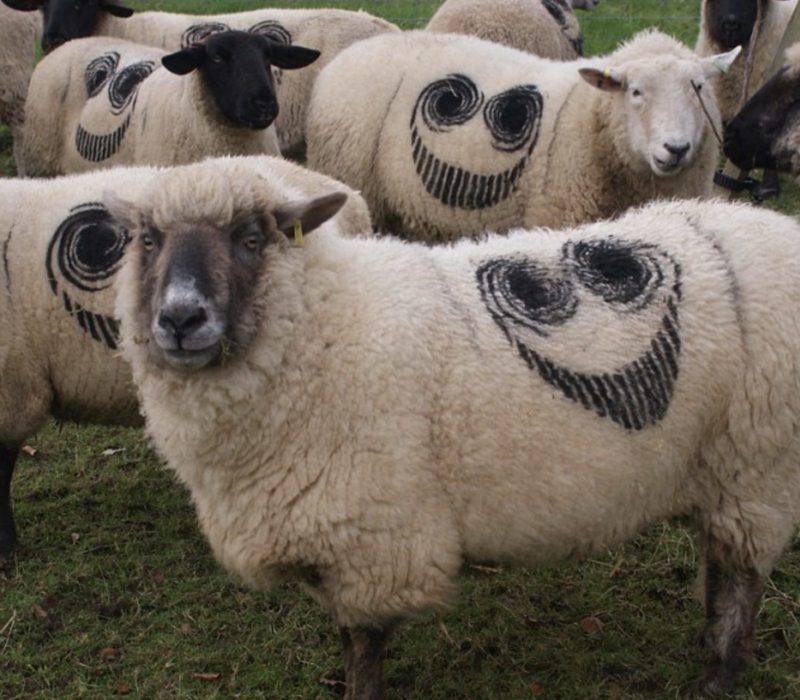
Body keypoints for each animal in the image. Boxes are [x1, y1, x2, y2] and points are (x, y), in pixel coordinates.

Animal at [108, 159, 800, 698]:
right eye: (148, 239)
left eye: (252, 237)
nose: (180, 318)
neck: (324, 324)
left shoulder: (375, 540)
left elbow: (361, 645)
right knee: (720, 557)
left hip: (758, 462)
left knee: (743, 573)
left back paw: (721, 672)